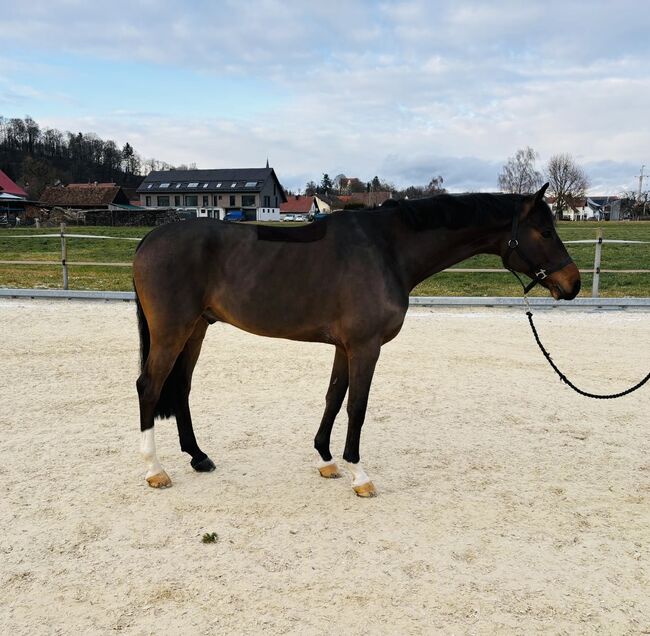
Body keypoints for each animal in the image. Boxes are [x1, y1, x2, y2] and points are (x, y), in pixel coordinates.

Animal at [133, 183, 580, 497]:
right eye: (544, 231)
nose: (572, 284)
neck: (387, 250)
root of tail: (149, 241)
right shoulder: (366, 347)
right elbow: (357, 408)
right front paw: (359, 473)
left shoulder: (343, 347)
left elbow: (333, 397)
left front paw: (327, 460)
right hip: (173, 330)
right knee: (150, 386)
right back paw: (155, 470)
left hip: (197, 328)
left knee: (181, 387)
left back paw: (198, 457)